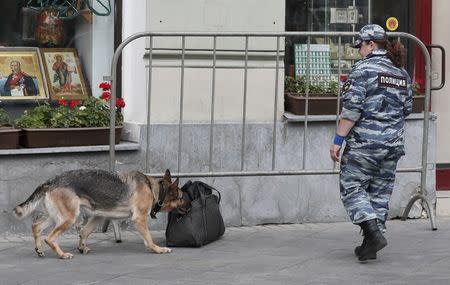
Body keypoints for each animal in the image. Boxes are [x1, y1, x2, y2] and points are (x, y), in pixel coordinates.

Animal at [13, 168, 185, 258]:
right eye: (182, 198)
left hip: (56, 217)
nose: (189, 205)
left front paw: (82, 247)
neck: (154, 188)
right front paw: (157, 249)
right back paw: (62, 254)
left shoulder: (99, 216)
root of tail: (51, 182)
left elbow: (84, 232)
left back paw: (39, 249)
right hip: (68, 218)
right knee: (49, 237)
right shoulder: (140, 218)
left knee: (36, 226)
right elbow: (148, 238)